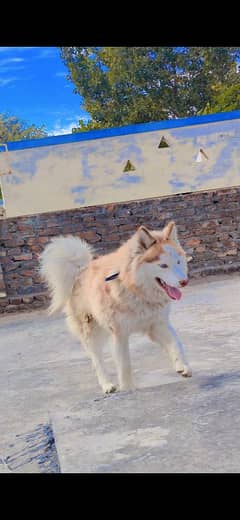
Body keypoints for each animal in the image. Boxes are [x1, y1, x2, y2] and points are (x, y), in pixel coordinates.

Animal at [40, 220, 192, 394]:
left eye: (178, 262)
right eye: (163, 265)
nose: (184, 282)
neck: (136, 291)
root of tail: (81, 269)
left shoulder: (157, 324)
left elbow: (176, 344)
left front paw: (182, 366)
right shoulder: (119, 334)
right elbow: (124, 364)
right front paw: (127, 388)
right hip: (91, 331)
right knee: (97, 361)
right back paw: (107, 385)